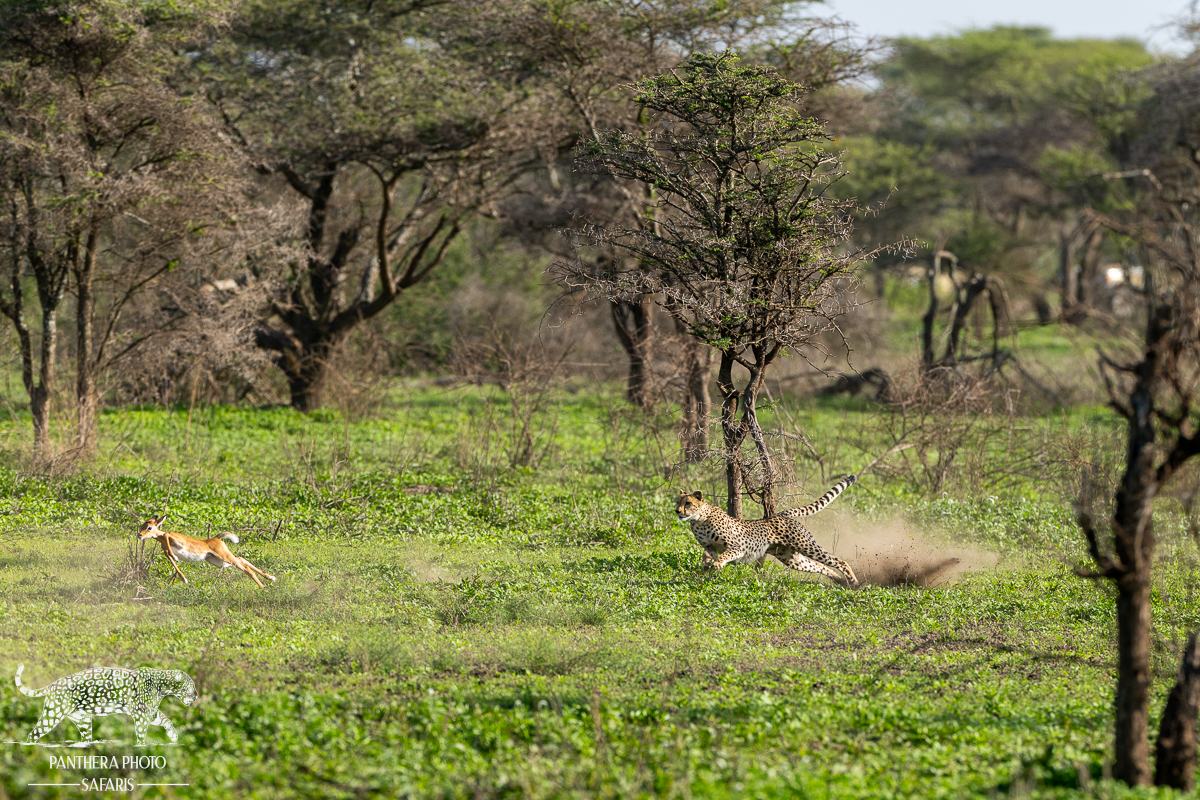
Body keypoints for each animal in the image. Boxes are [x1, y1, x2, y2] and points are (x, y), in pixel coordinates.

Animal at [15, 664, 197, 745]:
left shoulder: (150, 712)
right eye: (192, 686)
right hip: (52, 714)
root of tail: (52, 685)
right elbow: (141, 733)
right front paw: (141, 746)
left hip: (83, 720)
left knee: (85, 737)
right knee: (33, 734)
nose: (196, 697)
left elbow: (166, 719)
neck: (163, 685)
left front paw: (173, 735)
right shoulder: (141, 714)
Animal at [675, 475, 859, 588]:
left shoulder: (738, 547)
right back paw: (839, 580)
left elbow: (725, 554)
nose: (677, 511)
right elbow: (706, 555)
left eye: (688, 503)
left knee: (839, 561)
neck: (699, 519)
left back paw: (853, 581)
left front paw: (718, 564)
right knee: (820, 565)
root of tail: (780, 515)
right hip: (791, 558)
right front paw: (706, 567)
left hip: (806, 546)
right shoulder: (709, 546)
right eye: (677, 502)